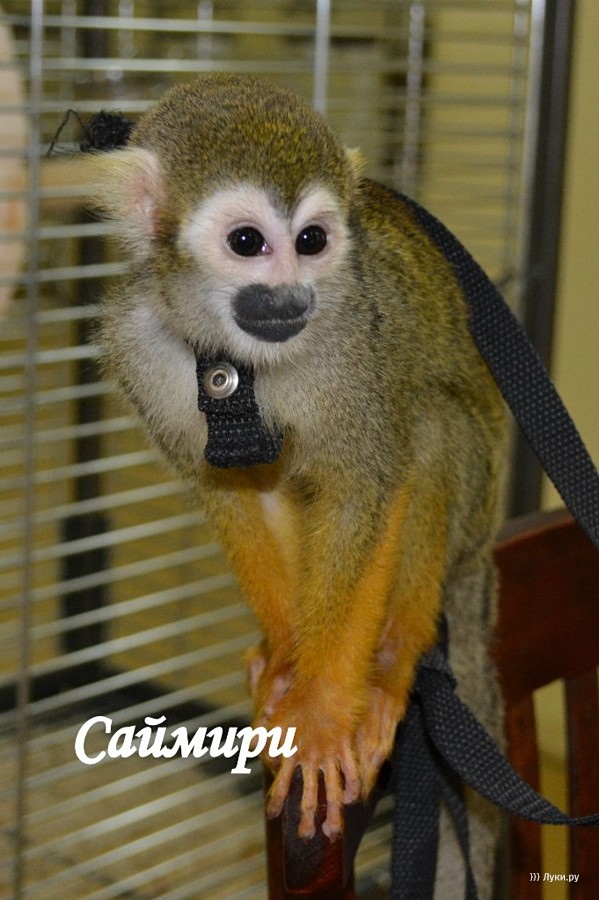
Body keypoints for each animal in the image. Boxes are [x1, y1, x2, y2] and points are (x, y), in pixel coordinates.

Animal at [83, 73, 508, 897]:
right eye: (248, 243)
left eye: (311, 242)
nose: (289, 298)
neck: (235, 358)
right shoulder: (141, 346)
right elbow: (236, 491)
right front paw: (286, 662)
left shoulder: (352, 342)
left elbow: (369, 480)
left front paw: (320, 711)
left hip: (475, 506)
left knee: (430, 425)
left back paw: (391, 662)